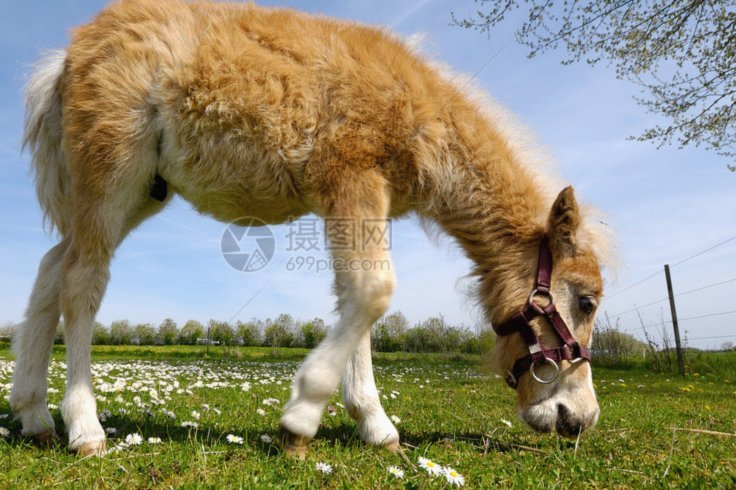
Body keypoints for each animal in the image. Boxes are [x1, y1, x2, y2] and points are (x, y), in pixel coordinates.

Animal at [12, 0, 611, 457]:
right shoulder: (350, 176)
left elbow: (356, 300)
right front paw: (300, 420)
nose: (580, 418)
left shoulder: (362, 199)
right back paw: (83, 428)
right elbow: (373, 291)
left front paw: (376, 428)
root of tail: (67, 55)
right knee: (81, 281)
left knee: (52, 268)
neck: (417, 111)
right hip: (112, 167)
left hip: (140, 191)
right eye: (585, 302)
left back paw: (33, 414)